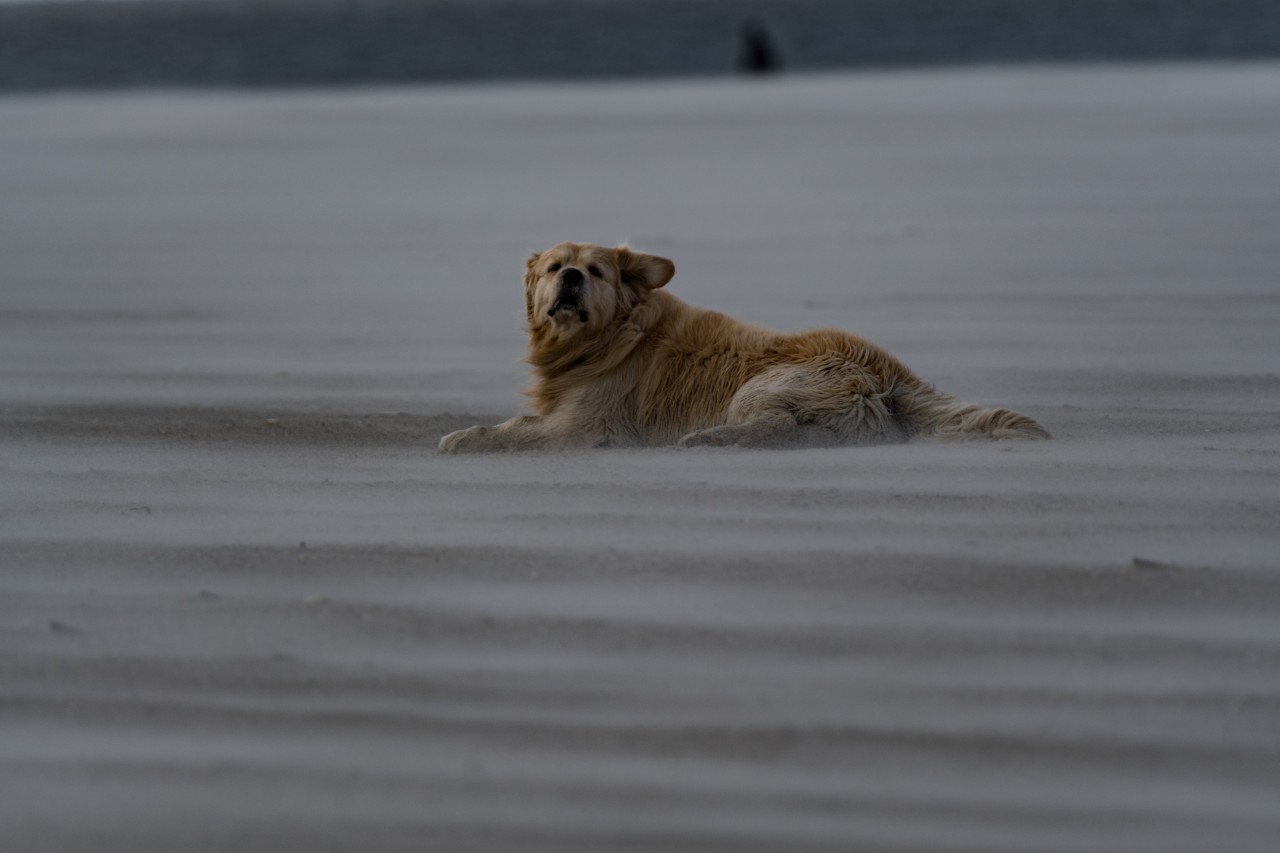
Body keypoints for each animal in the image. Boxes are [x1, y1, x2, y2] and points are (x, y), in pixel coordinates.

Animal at [435, 239, 1044, 450]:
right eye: (554, 267)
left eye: (597, 271)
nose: (570, 279)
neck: (606, 340)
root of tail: (892, 371)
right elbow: (517, 422)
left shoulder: (584, 424)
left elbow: (511, 433)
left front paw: (463, 438)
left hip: (762, 383)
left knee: (774, 425)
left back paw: (709, 439)